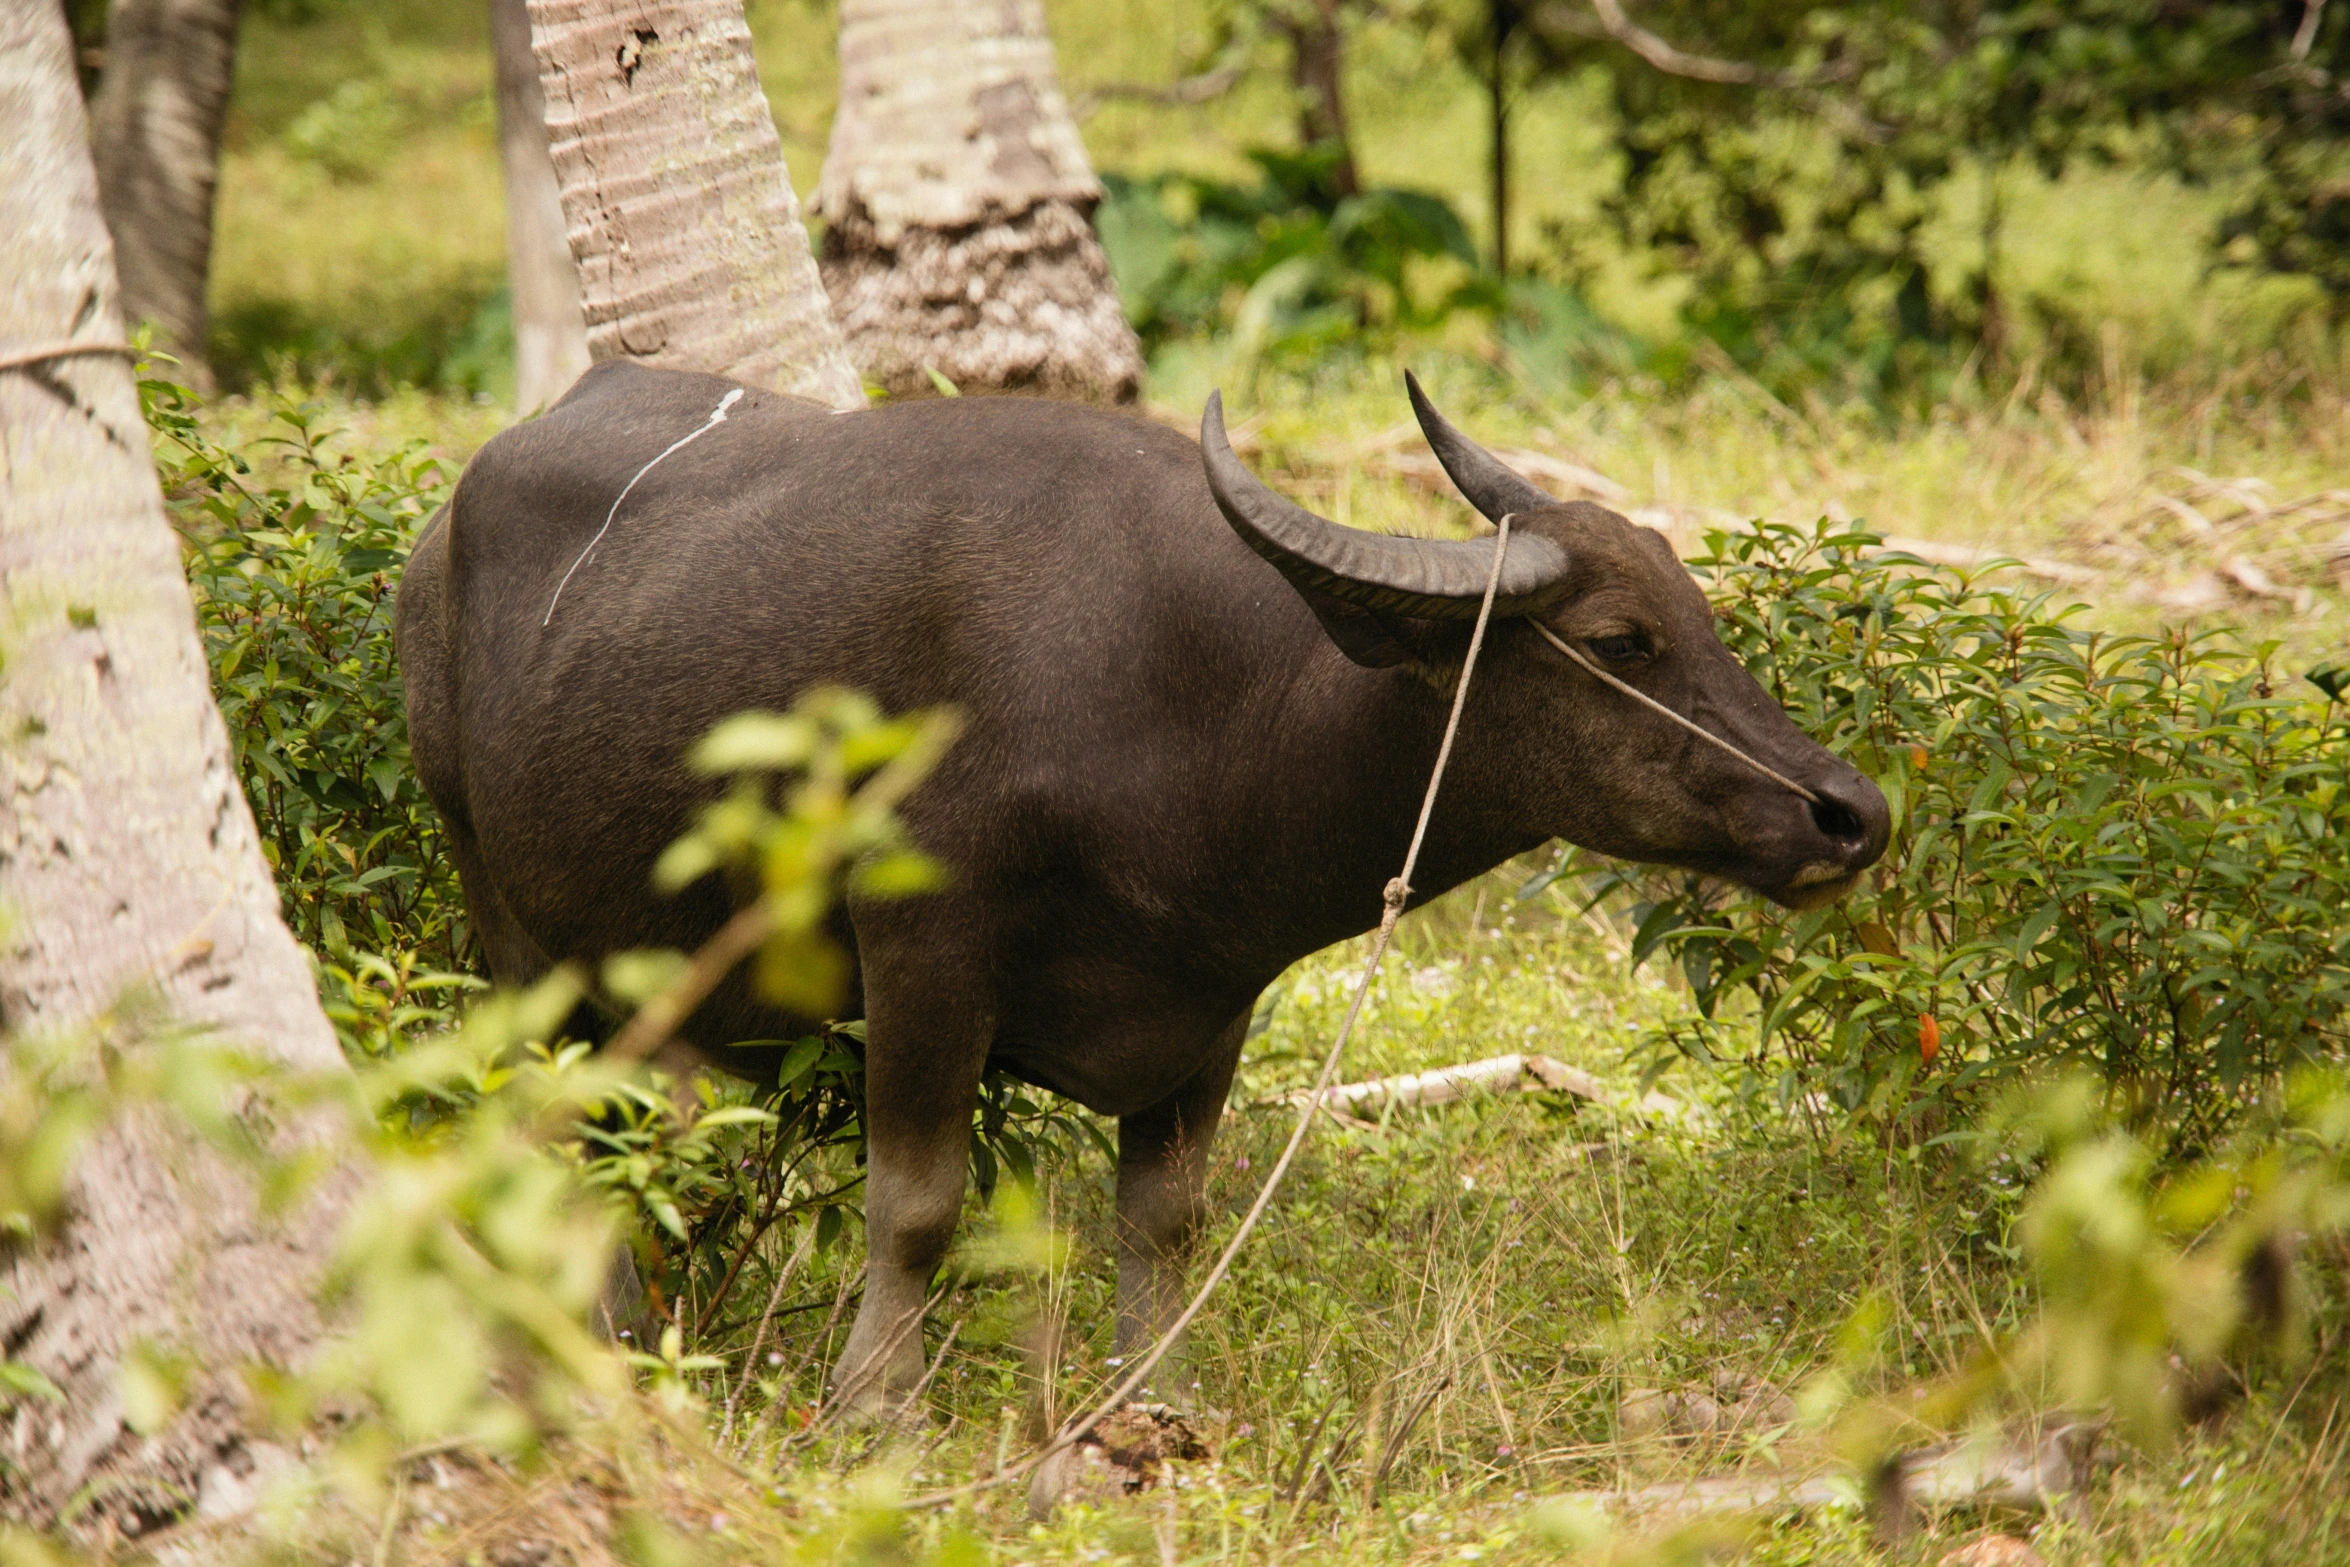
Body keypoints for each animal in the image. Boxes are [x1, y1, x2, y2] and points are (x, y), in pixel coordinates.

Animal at [399, 361, 1889, 1418]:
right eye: (1619, 640)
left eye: (1697, 614)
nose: (1850, 812)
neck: (1197, 710)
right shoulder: (921, 953)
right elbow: (917, 1200)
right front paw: (880, 1407)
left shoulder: (1211, 1003)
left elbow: (1164, 1219)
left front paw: (1151, 1402)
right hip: (503, 913)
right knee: (553, 1129)